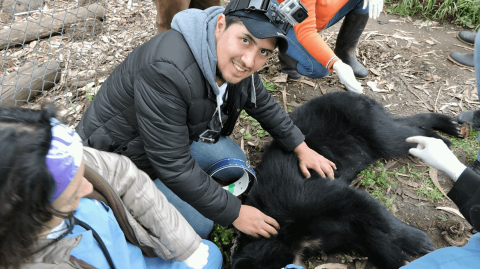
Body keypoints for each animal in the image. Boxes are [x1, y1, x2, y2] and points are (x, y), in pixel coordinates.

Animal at [231, 91, 464, 268]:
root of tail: (354, 93)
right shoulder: (329, 233)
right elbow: (367, 236)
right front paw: (400, 259)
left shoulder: (298, 196)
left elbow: (366, 207)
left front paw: (417, 240)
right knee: (401, 125)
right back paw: (443, 132)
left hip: (372, 128)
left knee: (399, 134)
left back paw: (440, 140)